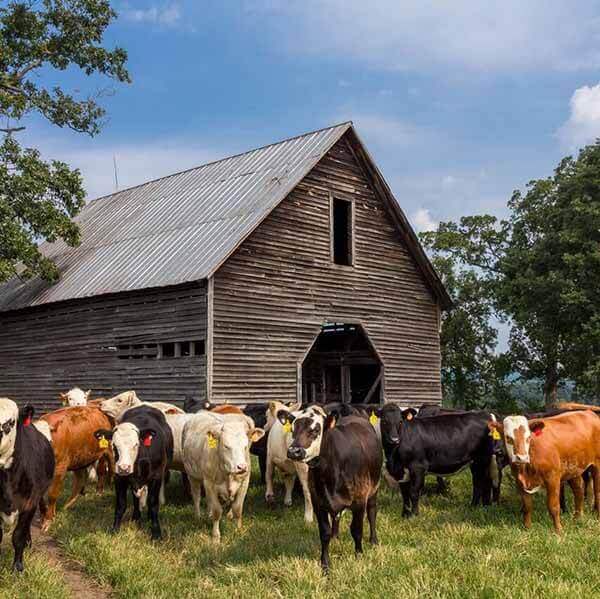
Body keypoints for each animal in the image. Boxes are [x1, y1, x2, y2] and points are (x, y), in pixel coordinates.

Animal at [95, 406, 172, 540]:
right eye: (114, 445)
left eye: (136, 444)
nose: (124, 467)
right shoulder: (119, 478)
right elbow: (121, 505)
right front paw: (115, 529)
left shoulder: (156, 477)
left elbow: (153, 504)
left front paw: (156, 533)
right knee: (136, 498)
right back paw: (136, 517)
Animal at [182, 412, 264, 544]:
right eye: (226, 446)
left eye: (245, 446)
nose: (241, 467)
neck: (228, 473)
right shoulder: (209, 483)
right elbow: (217, 511)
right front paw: (216, 537)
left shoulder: (244, 483)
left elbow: (237, 509)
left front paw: (238, 531)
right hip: (193, 476)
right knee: (196, 496)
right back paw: (198, 516)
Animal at [278, 406, 382, 576]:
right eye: (292, 429)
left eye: (316, 430)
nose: (294, 451)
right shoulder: (318, 502)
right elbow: (324, 533)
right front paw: (325, 564)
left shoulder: (359, 500)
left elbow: (357, 530)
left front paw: (359, 555)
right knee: (337, 517)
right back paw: (335, 537)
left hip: (374, 488)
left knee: (372, 512)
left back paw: (373, 540)